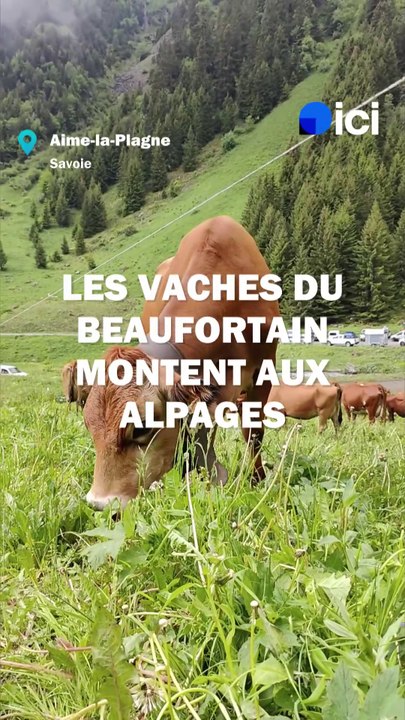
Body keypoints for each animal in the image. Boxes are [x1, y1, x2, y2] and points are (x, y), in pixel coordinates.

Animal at [83, 215, 280, 509]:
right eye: (88, 424)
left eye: (141, 427)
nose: (100, 504)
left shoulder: (262, 374)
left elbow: (253, 433)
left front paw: (256, 481)